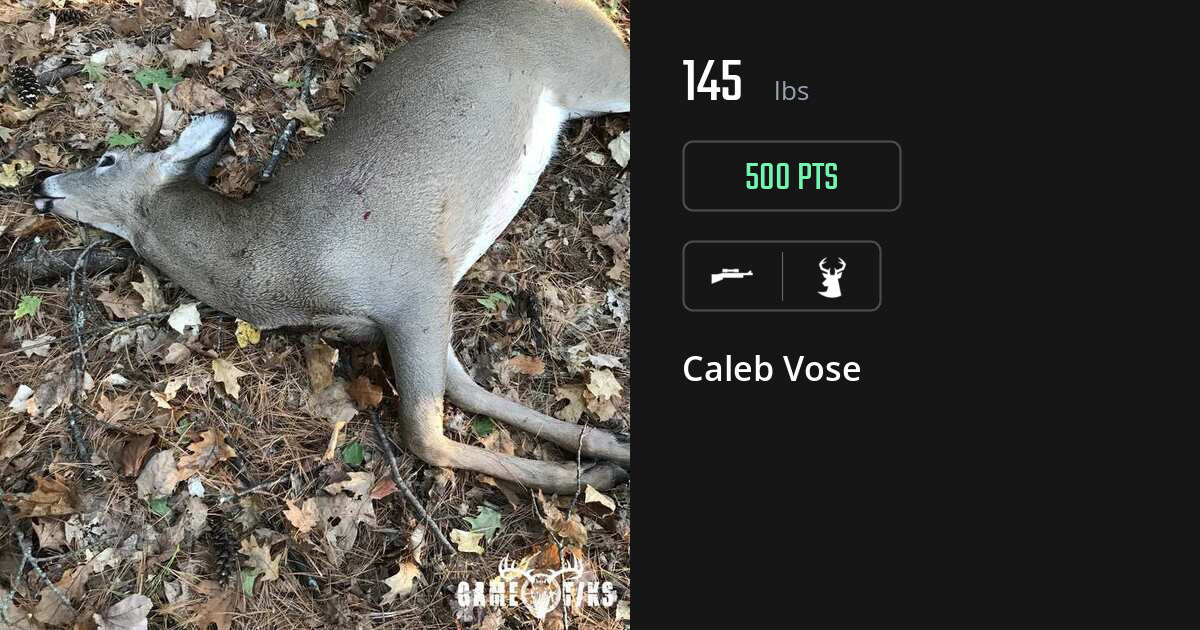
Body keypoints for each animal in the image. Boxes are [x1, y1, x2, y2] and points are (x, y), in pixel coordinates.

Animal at [31, 0, 630, 493]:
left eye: (107, 159)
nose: (42, 182)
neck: (270, 262)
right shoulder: (414, 306)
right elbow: (468, 394)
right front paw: (607, 449)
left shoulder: (415, 286)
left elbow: (424, 435)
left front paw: (597, 473)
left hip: (596, 65)